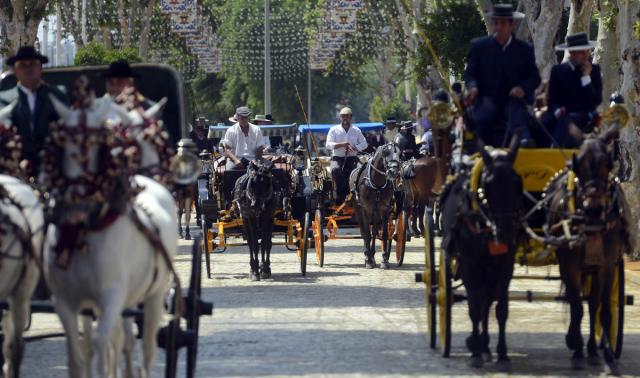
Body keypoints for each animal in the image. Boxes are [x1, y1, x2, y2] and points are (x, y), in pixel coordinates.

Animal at [43, 88, 178, 378]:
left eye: (97, 149)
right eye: (64, 147)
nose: (75, 210)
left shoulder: (112, 296)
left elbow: (104, 341)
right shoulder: (65, 301)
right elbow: (78, 350)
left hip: (154, 294)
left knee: (146, 347)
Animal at [440, 134, 524, 370]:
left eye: (517, 184)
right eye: (488, 185)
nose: (505, 232)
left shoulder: (505, 265)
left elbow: (500, 308)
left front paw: (501, 354)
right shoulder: (469, 264)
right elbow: (474, 306)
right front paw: (475, 352)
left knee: (487, 299)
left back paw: (485, 345)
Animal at [544, 125, 632, 372]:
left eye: (608, 164)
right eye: (578, 164)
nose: (593, 209)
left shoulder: (607, 266)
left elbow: (599, 306)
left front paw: (601, 352)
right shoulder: (570, 266)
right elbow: (577, 307)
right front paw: (576, 348)